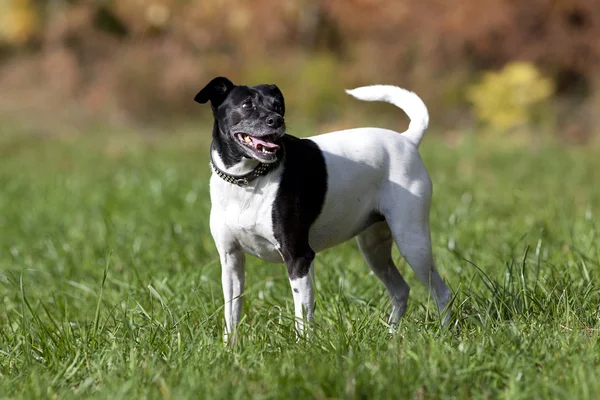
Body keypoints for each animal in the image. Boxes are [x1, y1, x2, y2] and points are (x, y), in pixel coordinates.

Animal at [195, 76, 452, 340]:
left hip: (412, 243)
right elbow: (232, 314)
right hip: (373, 248)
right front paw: (231, 347)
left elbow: (302, 315)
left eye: (278, 106)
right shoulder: (231, 260)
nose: (276, 121)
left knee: (441, 293)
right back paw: (391, 335)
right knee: (401, 290)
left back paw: (443, 335)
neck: (248, 181)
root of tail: (408, 139)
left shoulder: (299, 258)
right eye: (247, 105)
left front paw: (303, 346)